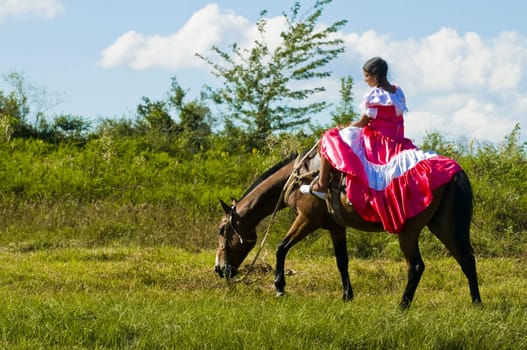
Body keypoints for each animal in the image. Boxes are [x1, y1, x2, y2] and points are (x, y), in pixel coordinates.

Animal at [214, 149, 482, 308]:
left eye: (221, 230)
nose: (219, 269)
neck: (303, 177)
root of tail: (451, 170)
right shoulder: (335, 227)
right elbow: (342, 262)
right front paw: (347, 296)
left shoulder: (306, 219)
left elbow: (281, 248)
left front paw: (279, 287)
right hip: (443, 225)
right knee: (466, 260)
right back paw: (476, 303)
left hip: (409, 232)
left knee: (416, 266)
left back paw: (402, 306)